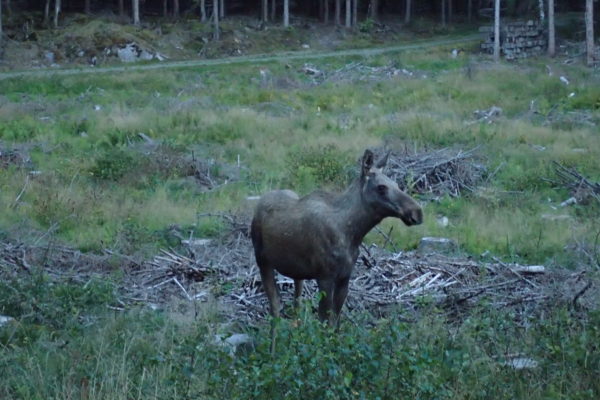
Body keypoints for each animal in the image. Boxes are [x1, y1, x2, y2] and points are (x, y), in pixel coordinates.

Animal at [251, 149, 424, 324]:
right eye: (381, 187)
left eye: (397, 185)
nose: (417, 212)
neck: (353, 233)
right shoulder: (325, 277)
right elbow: (324, 320)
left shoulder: (344, 277)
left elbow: (335, 321)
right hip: (263, 261)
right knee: (274, 306)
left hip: (296, 272)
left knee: (296, 303)